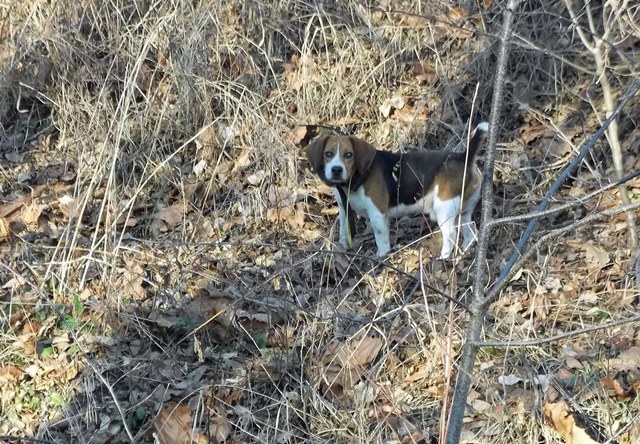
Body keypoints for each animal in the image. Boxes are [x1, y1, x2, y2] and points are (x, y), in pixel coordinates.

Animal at [308, 123, 488, 258]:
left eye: (348, 155)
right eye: (328, 154)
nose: (336, 170)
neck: (354, 181)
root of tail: (464, 157)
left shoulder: (377, 214)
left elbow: (381, 239)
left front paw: (381, 257)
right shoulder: (344, 209)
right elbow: (344, 232)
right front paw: (343, 248)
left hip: (444, 208)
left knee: (450, 235)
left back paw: (443, 257)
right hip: (464, 210)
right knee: (470, 231)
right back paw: (465, 250)